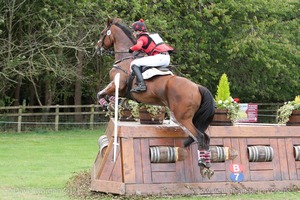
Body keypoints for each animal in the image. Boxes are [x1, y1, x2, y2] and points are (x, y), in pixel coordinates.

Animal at [96, 17, 216, 178]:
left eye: (103, 33)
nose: (97, 48)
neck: (124, 58)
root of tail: (197, 87)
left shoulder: (116, 85)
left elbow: (100, 93)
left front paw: (106, 104)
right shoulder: (121, 91)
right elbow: (116, 98)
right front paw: (117, 105)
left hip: (182, 117)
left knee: (200, 136)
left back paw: (203, 165)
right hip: (189, 118)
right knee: (204, 137)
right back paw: (206, 165)